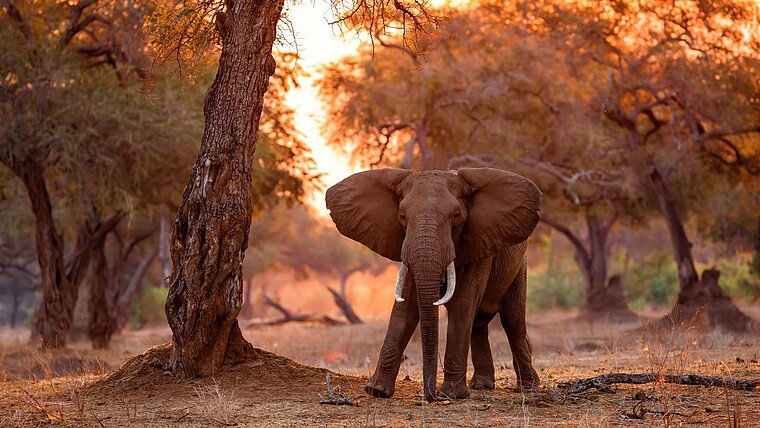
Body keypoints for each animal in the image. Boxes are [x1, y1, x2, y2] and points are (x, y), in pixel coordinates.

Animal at [324, 167, 544, 402]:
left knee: (513, 321)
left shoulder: (479, 245)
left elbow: (462, 305)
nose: (431, 396)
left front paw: (451, 394)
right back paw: (482, 386)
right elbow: (405, 307)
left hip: (519, 267)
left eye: (456, 216)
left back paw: (528, 387)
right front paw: (377, 391)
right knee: (478, 324)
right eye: (402, 216)